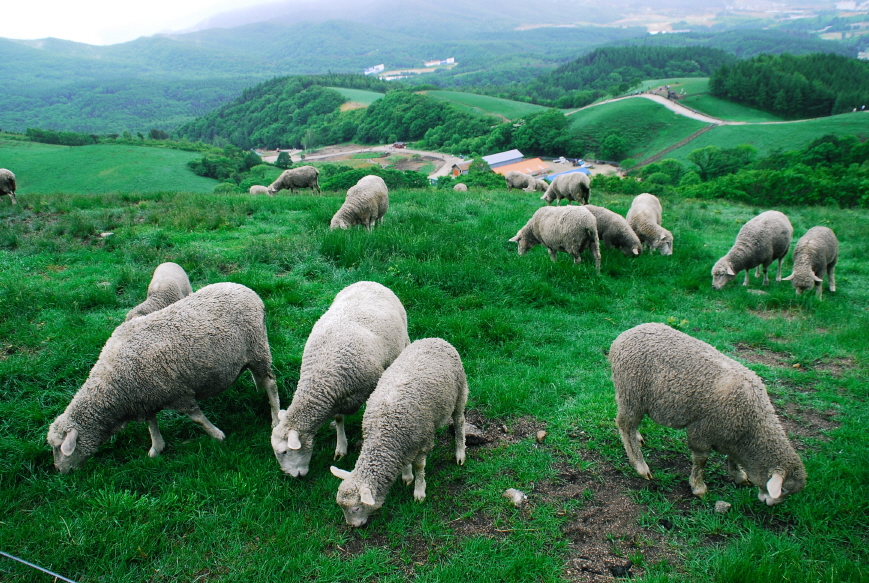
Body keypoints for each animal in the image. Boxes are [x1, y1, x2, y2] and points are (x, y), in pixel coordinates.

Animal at [45, 282, 280, 474]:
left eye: (59, 448)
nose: (59, 470)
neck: (113, 388)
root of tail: (248, 291)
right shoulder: (146, 399)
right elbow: (152, 425)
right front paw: (156, 449)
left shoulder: (178, 392)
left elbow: (197, 418)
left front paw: (217, 435)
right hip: (250, 353)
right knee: (258, 376)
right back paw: (258, 387)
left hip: (257, 347)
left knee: (271, 383)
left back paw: (275, 417)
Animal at [270, 282, 408, 480]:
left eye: (284, 452)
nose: (294, 477)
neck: (320, 378)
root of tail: (369, 282)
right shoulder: (337, 396)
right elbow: (339, 418)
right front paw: (341, 447)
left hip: (403, 338)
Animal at [330, 336, 468, 528]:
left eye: (356, 508)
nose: (352, 526)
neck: (384, 436)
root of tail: (435, 339)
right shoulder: (402, 445)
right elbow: (406, 463)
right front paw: (407, 476)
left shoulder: (423, 441)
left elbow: (419, 467)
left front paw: (419, 491)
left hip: (460, 391)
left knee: (459, 422)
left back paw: (460, 453)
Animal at [612, 324, 808, 506]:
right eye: (783, 489)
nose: (769, 504)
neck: (751, 427)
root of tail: (625, 334)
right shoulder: (702, 431)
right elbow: (701, 460)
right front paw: (699, 487)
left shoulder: (731, 436)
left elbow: (733, 458)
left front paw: (739, 475)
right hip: (632, 393)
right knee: (625, 424)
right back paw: (640, 465)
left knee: (630, 425)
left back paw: (637, 438)